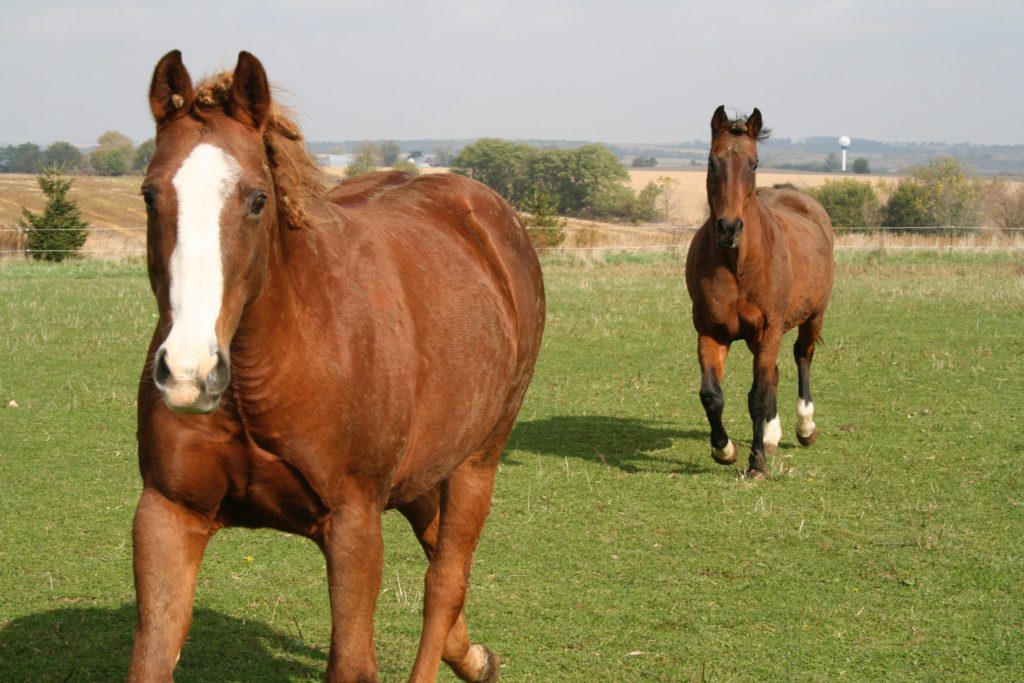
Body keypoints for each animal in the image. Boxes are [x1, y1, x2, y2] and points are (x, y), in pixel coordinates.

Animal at [132, 49, 548, 683]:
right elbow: (152, 656)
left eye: (257, 198)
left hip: (478, 460)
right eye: (151, 195)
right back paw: (476, 658)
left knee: (444, 582)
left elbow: (353, 661)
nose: (189, 371)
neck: (263, 373)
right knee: (436, 546)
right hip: (421, 467)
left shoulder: (353, 526)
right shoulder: (168, 514)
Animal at [684, 107, 835, 481]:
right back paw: (771, 435)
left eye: (753, 163)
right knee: (775, 375)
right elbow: (712, 395)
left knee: (802, 357)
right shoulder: (711, 332)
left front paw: (757, 465)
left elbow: (757, 397)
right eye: (712, 162)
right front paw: (724, 450)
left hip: (812, 317)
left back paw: (805, 428)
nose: (729, 228)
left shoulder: (769, 330)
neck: (739, 265)